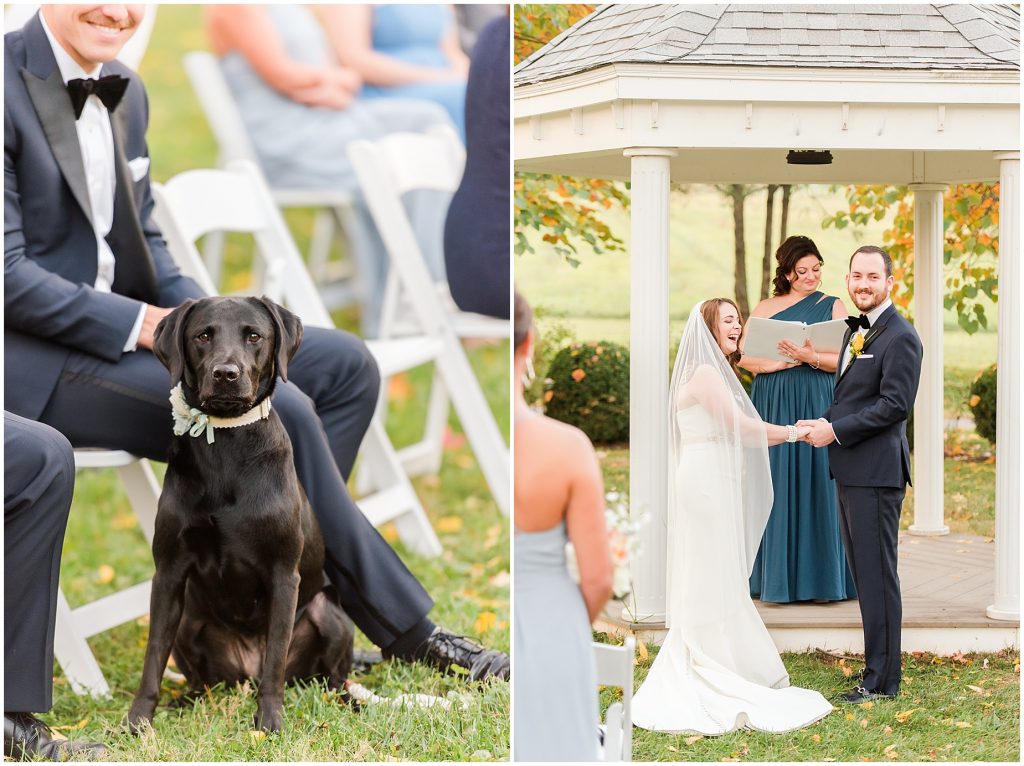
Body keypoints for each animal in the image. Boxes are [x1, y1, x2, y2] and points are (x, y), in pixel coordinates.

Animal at [127, 296, 354, 733]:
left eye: (254, 336)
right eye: (202, 336)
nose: (225, 374)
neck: (226, 444)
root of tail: (244, 671)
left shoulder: (284, 574)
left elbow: (275, 659)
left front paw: (269, 721)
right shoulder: (169, 573)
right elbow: (153, 655)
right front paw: (138, 720)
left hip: (331, 615)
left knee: (327, 676)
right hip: (189, 620)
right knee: (201, 680)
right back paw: (186, 700)